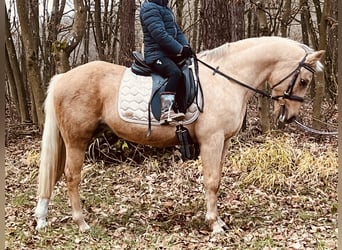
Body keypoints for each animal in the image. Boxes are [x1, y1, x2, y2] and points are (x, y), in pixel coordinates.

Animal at [34, 36, 324, 233]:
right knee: (72, 177)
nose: (290, 117)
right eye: (304, 81)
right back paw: (81, 223)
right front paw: (214, 224)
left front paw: (217, 220)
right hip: (77, 140)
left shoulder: (224, 142)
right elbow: (212, 181)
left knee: (55, 174)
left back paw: (42, 218)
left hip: (68, 140)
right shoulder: (212, 140)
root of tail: (62, 78)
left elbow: (217, 179)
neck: (226, 80)